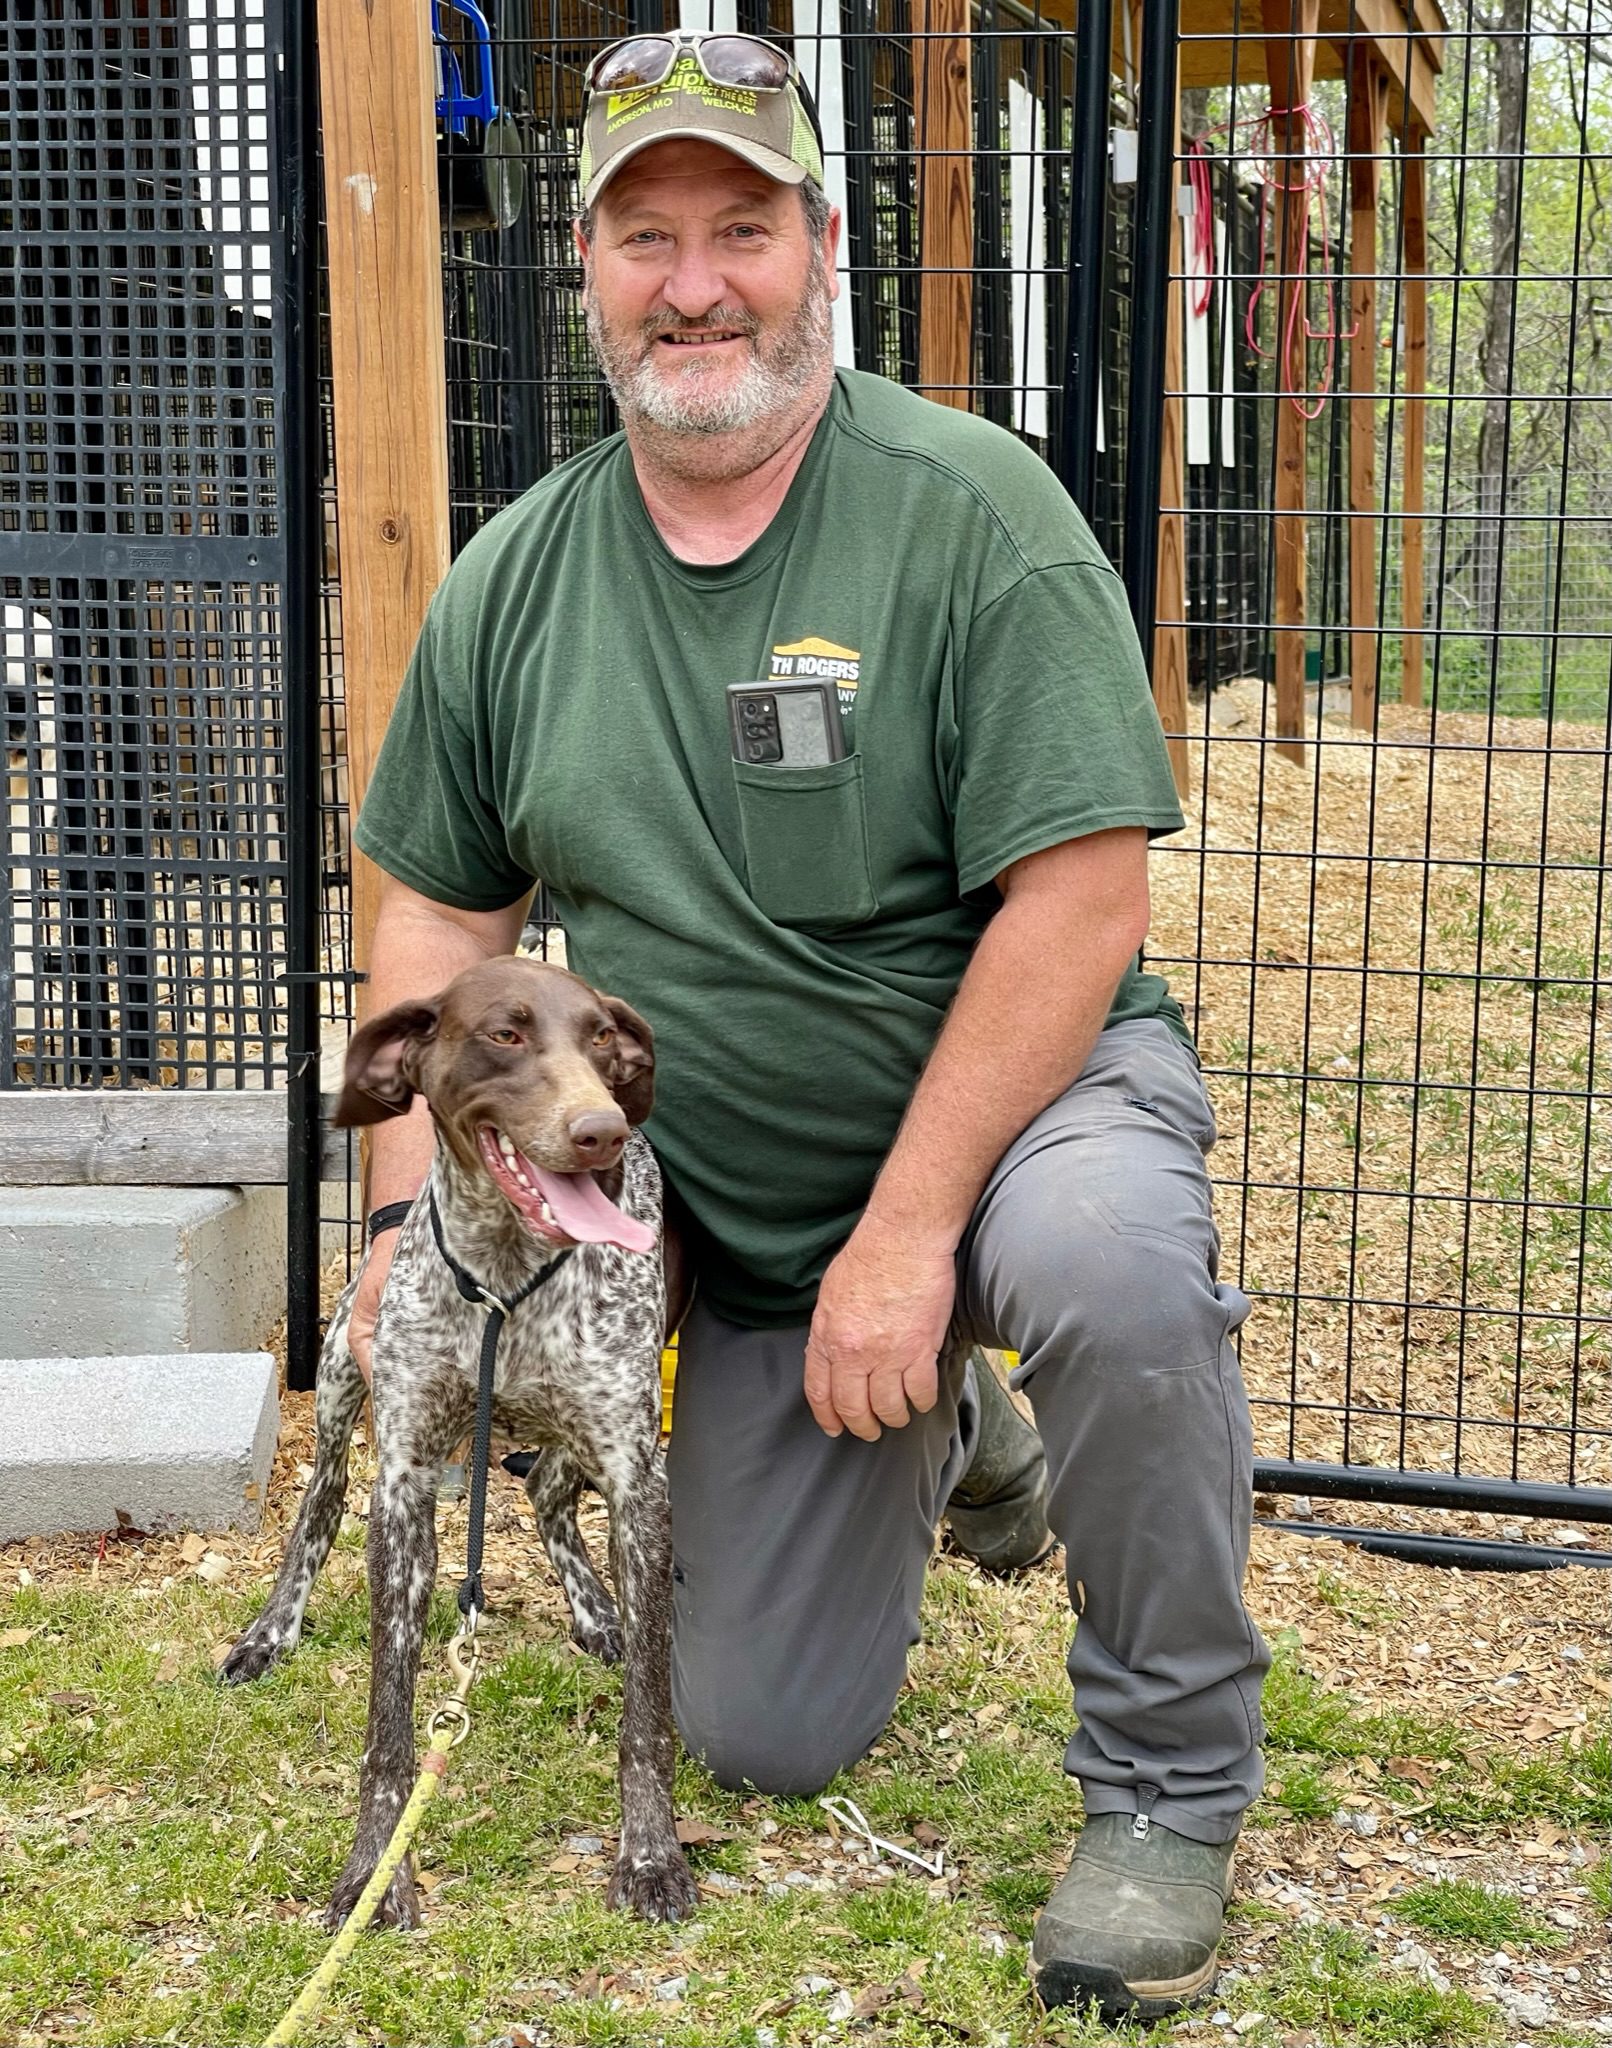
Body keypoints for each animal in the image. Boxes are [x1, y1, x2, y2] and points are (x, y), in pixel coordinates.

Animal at [217, 950, 696, 1925]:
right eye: (505, 1034)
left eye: (604, 1039)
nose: (601, 1132)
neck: (508, 1281)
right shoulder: (402, 1484)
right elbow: (389, 1726)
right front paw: (374, 1869)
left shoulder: (638, 1477)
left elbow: (647, 1718)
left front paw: (650, 1855)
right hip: (340, 1386)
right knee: (318, 1507)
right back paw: (272, 1629)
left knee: (546, 1490)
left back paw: (597, 1612)